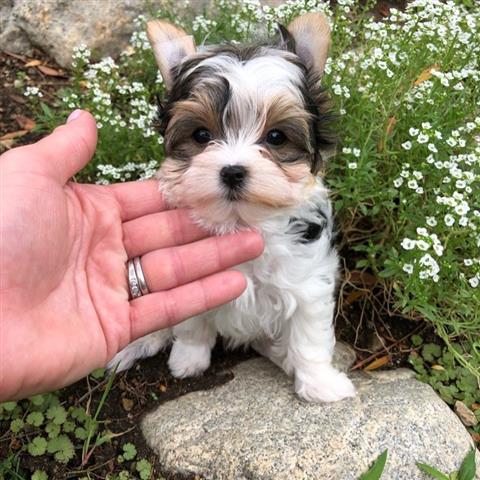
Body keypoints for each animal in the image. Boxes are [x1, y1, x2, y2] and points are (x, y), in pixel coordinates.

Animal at [109, 14, 356, 402]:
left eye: (276, 137)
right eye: (201, 135)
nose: (232, 171)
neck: (242, 221)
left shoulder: (308, 283)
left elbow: (309, 334)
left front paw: (319, 382)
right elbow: (192, 323)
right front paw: (188, 360)